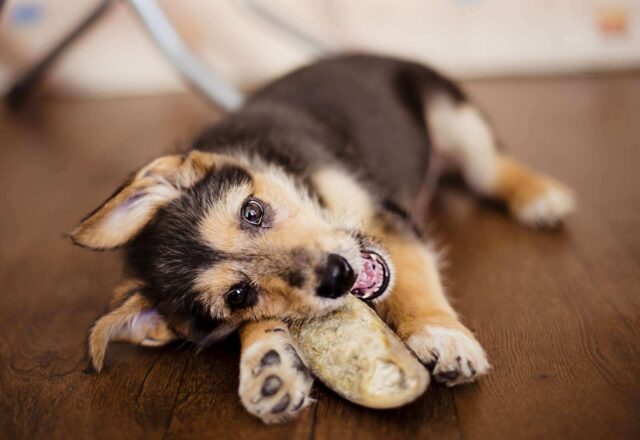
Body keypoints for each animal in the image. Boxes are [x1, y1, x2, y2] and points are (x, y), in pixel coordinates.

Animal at [70, 55, 576, 422]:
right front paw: (268, 363)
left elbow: (413, 280)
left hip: (455, 118)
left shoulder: (382, 218)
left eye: (252, 212)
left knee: (491, 167)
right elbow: (265, 326)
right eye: (239, 296)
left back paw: (540, 196)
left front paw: (441, 334)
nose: (338, 275)